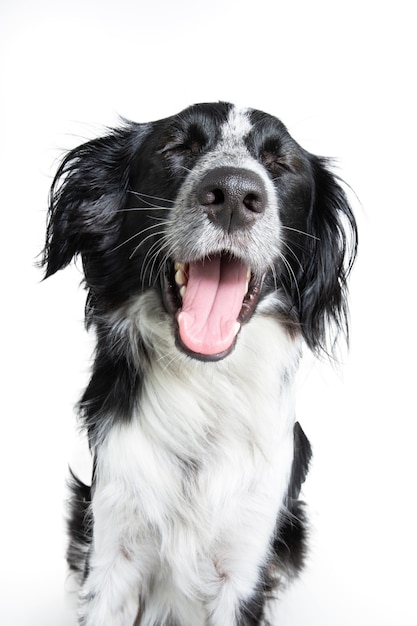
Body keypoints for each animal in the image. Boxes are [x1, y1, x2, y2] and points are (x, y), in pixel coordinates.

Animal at [42, 103, 356, 624]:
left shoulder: (242, 568)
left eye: (280, 164)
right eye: (177, 147)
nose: (233, 193)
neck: (204, 389)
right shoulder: (113, 550)